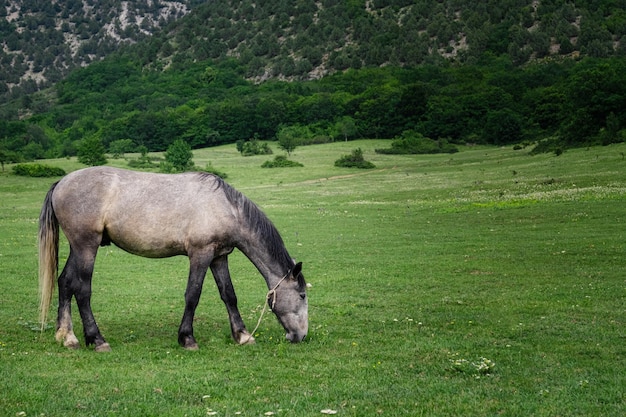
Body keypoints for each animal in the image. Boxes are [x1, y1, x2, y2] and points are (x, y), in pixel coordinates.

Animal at [37, 166, 306, 352]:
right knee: (82, 290)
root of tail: (61, 182)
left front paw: (242, 335)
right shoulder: (200, 254)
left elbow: (229, 295)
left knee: (65, 283)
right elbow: (193, 294)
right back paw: (97, 340)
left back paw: (67, 336)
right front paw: (187, 338)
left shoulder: (219, 257)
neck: (224, 207)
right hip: (86, 246)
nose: (301, 336)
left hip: (78, 248)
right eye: (302, 295)